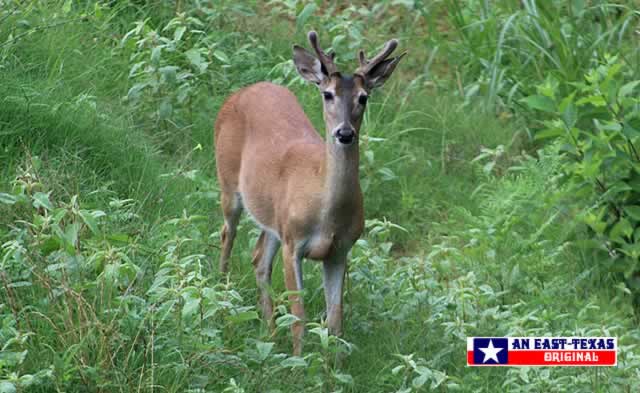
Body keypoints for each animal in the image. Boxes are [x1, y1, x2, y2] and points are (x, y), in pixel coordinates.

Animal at [215, 32, 404, 354]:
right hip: (228, 181)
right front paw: (298, 361)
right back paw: (222, 298)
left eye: (363, 98)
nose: (344, 133)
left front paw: (332, 364)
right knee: (227, 234)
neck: (326, 214)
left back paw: (269, 333)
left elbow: (335, 320)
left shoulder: (340, 250)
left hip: (274, 218)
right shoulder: (294, 242)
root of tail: (241, 92)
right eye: (327, 94)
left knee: (259, 258)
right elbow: (299, 314)